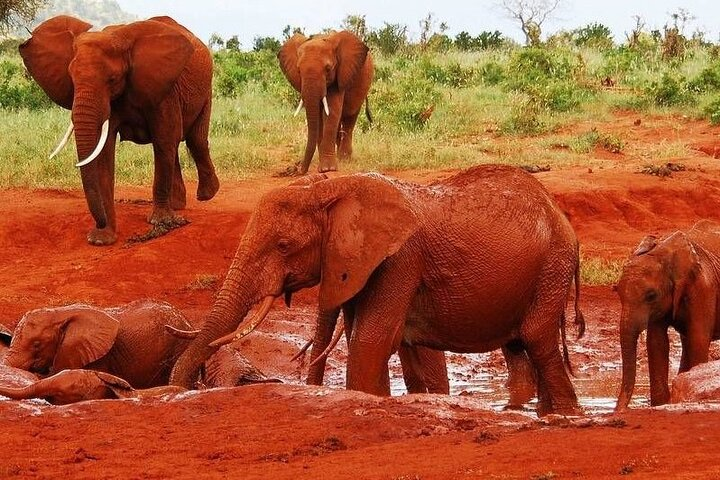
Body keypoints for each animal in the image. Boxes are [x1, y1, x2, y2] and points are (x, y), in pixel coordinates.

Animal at [19, 14, 219, 244]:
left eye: (112, 79)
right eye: (71, 79)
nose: (100, 223)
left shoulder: (164, 90)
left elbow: (164, 139)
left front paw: (160, 222)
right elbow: (104, 153)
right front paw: (101, 239)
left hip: (206, 90)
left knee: (193, 140)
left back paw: (207, 194)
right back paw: (178, 205)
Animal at [170, 165, 584, 416]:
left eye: (284, 245)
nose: (179, 391)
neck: (333, 188)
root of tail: (557, 211)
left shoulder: (399, 259)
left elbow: (372, 339)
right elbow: (377, 339)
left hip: (553, 264)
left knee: (536, 337)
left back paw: (566, 415)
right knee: (519, 344)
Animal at [278, 29, 374, 174]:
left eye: (328, 69)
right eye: (298, 70)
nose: (298, 169)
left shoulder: (340, 74)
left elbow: (332, 111)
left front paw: (327, 169)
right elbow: (318, 116)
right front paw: (324, 166)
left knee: (350, 117)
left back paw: (344, 159)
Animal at [616, 219, 720, 410]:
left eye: (651, 295)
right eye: (616, 291)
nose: (617, 411)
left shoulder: (703, 287)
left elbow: (698, 339)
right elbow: (656, 343)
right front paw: (661, 404)